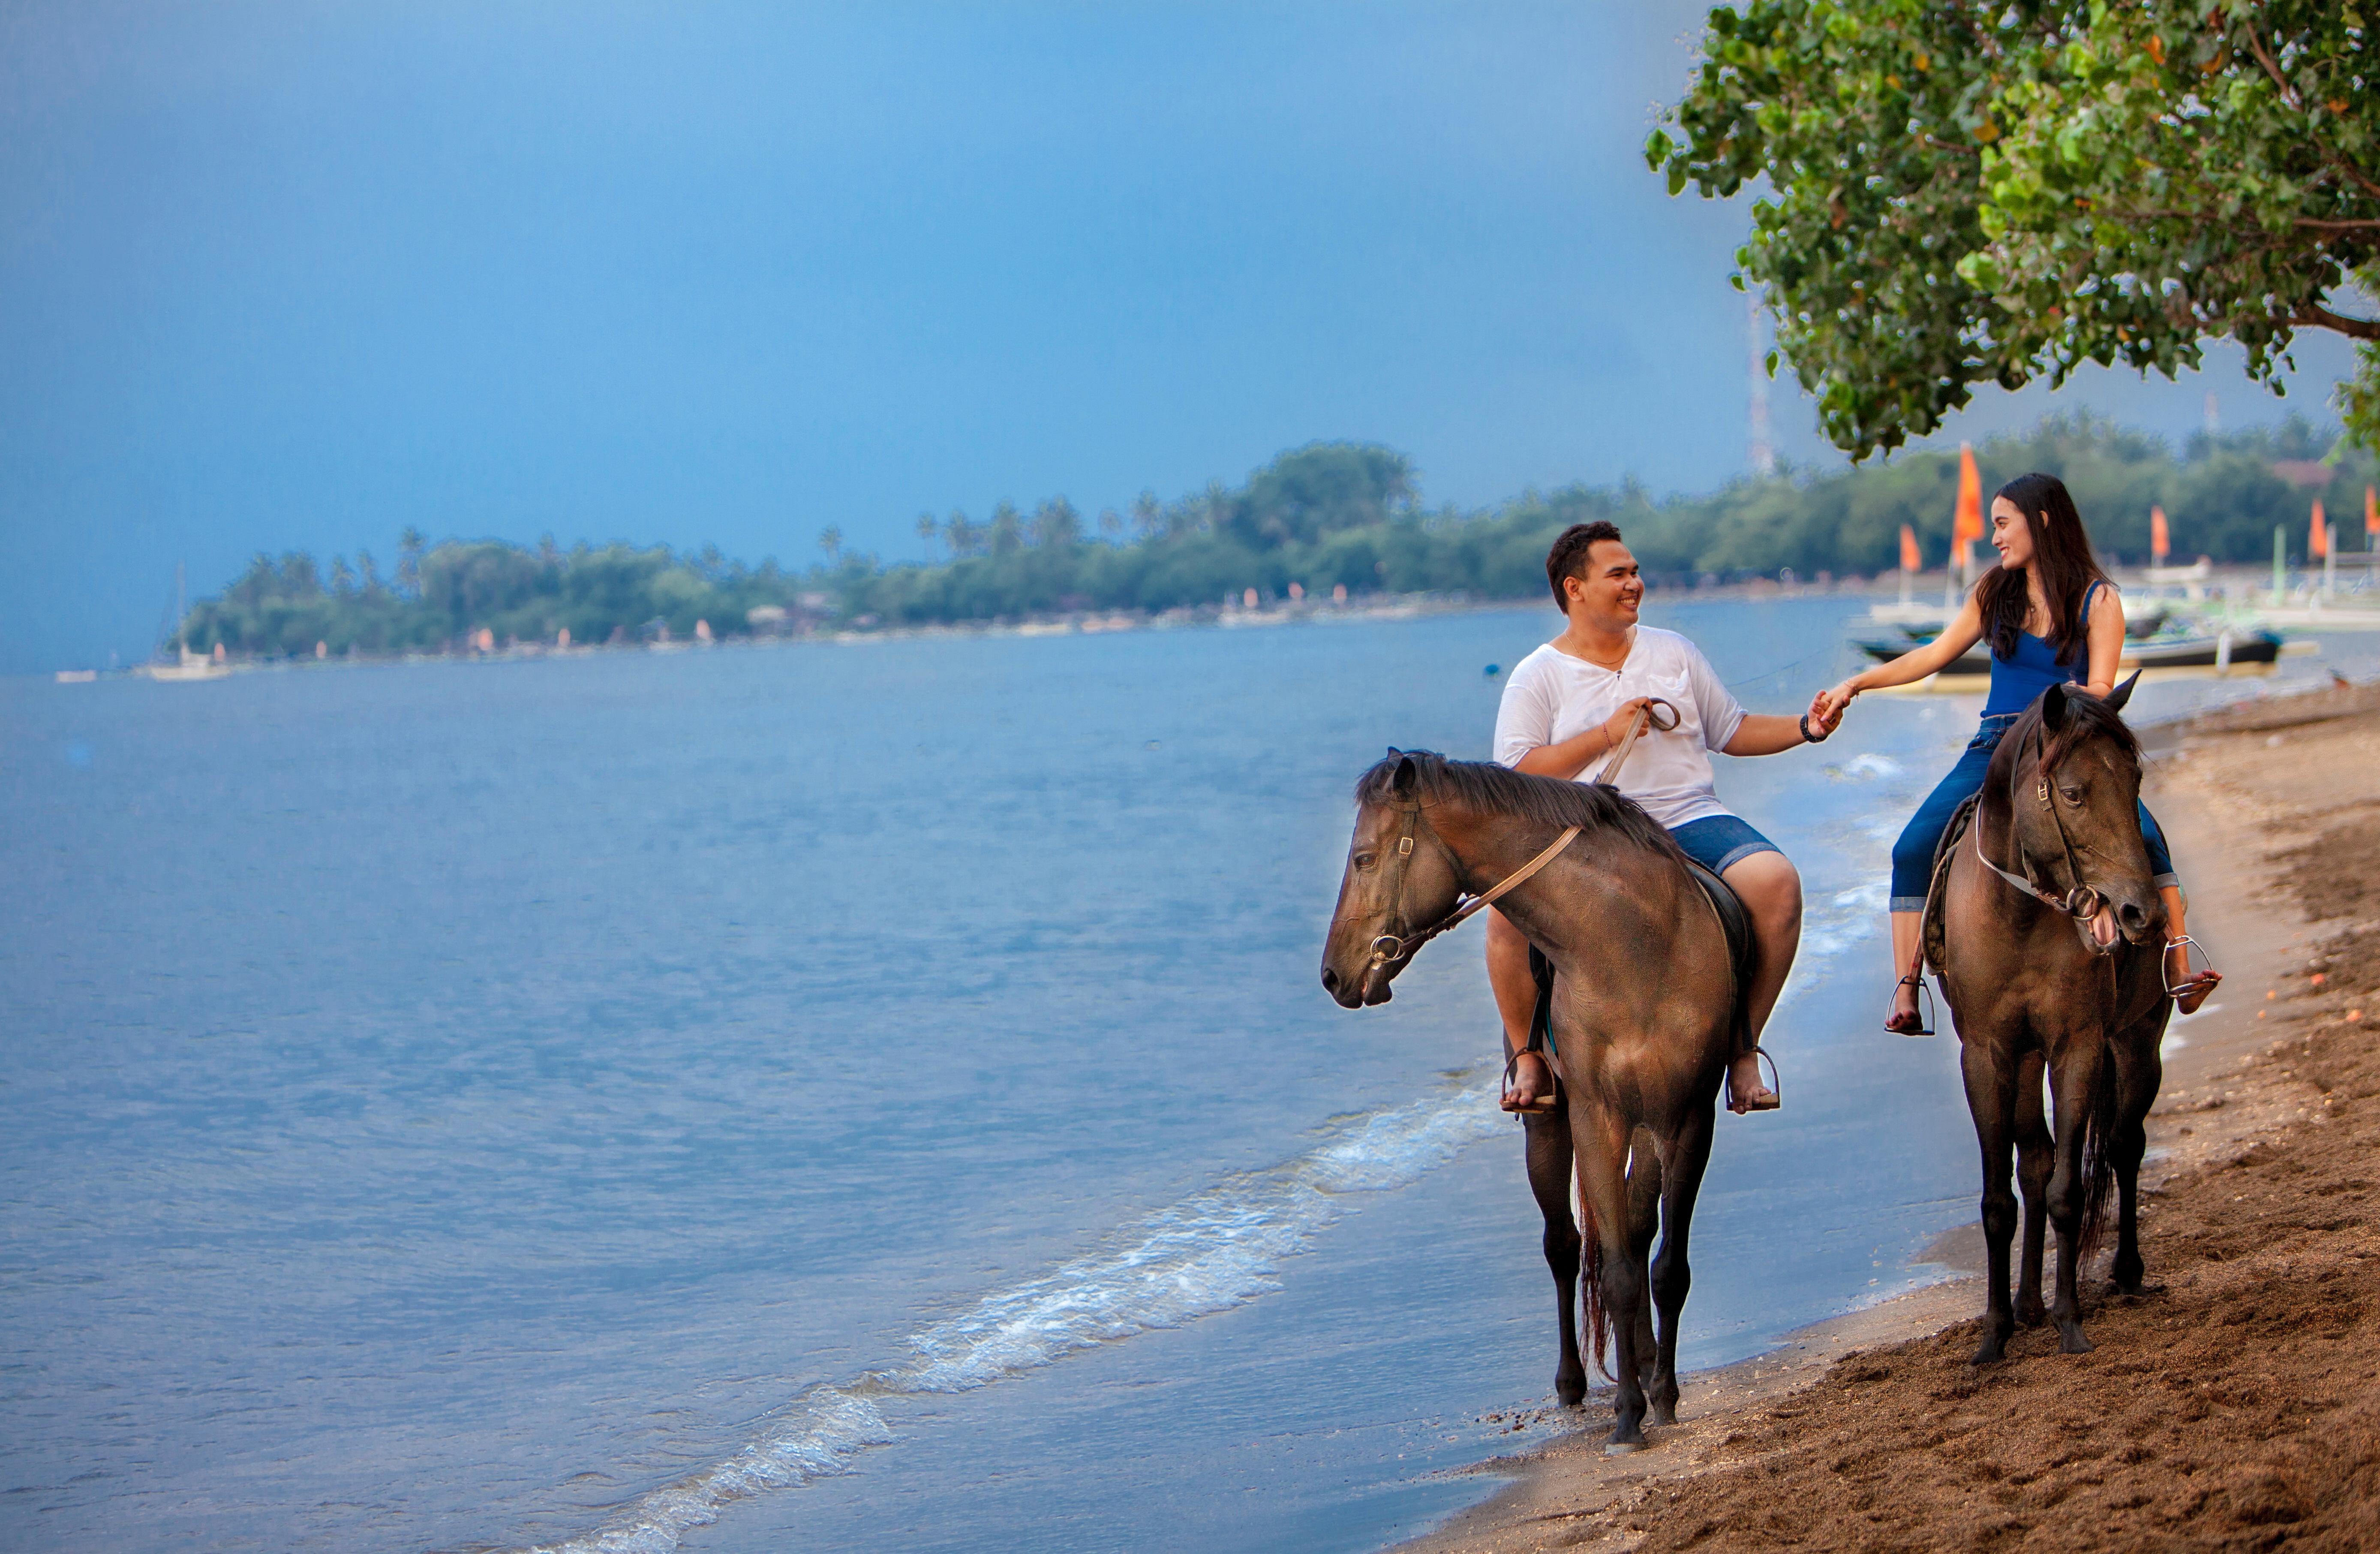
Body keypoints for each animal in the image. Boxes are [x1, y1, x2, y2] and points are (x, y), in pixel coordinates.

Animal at [1313, 747, 1742, 1447]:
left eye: (1363, 859)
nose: (1330, 975)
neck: (1631, 947)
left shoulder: (1687, 1117)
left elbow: (1664, 1267)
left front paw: (1662, 1395)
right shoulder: (1597, 1118)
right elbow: (1617, 1271)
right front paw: (1628, 1415)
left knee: (1636, 1234)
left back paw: (1646, 1359)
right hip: (1550, 1127)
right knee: (1565, 1247)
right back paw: (1573, 1384)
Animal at [1932, 681, 2180, 1361]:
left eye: (2135, 781)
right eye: (2072, 793)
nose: (2142, 913)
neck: (2017, 914)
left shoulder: (2078, 1047)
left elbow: (2071, 1190)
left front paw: (2071, 1322)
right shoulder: (1985, 1054)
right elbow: (2001, 1197)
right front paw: (1994, 1334)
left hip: (2138, 1041)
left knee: (2123, 1144)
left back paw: (2125, 1274)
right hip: (2024, 1060)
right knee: (2036, 1162)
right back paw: (2026, 1305)